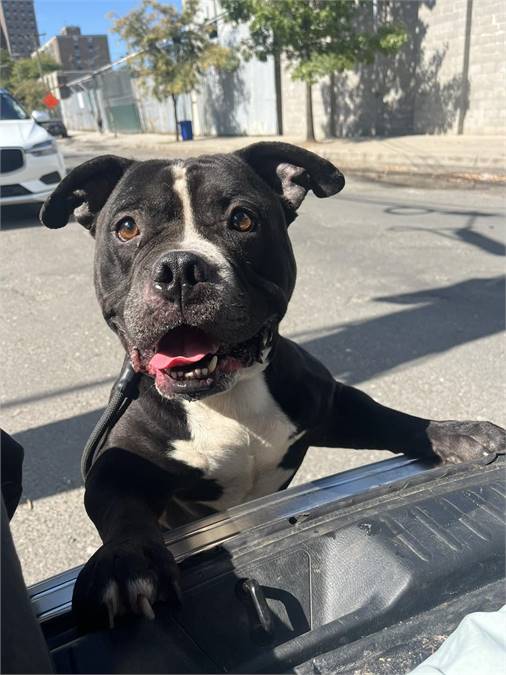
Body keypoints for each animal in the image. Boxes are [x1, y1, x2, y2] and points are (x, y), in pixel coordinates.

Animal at [40, 143, 506, 628]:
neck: (228, 394)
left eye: (242, 220)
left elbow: (390, 419)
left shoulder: (331, 403)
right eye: (127, 227)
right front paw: (127, 561)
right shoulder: (119, 463)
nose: (180, 267)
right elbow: (121, 508)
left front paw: (455, 433)